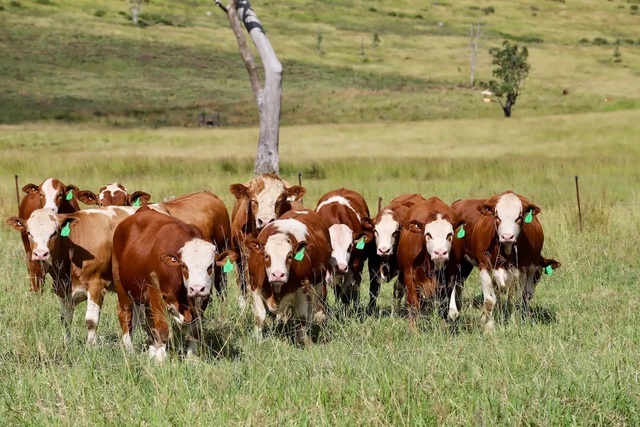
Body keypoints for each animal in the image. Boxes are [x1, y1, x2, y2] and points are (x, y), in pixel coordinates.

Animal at [6, 206, 137, 344]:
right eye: (29, 233)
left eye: (54, 232)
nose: (41, 254)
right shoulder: (62, 288)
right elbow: (65, 319)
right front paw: (66, 343)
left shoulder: (96, 285)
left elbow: (91, 320)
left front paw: (90, 345)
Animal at [112, 208, 237, 362]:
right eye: (184, 266)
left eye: (210, 266)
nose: (196, 289)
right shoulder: (157, 295)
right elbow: (162, 329)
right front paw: (161, 360)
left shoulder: (202, 300)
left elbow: (194, 331)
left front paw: (191, 358)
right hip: (122, 288)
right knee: (125, 315)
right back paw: (130, 350)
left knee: (149, 322)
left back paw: (151, 351)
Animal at [244, 210, 332, 346]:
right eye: (266, 255)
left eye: (290, 256)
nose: (278, 275)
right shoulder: (255, 288)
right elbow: (259, 317)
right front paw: (258, 340)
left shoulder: (303, 290)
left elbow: (301, 319)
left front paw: (304, 342)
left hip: (318, 287)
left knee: (312, 310)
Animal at [452, 191, 561, 330]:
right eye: (497, 216)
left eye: (519, 217)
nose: (507, 236)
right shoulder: (485, 268)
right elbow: (490, 300)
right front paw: (489, 326)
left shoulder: (521, 271)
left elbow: (514, 300)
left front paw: (513, 323)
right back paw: (453, 311)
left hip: (466, 265)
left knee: (459, 283)